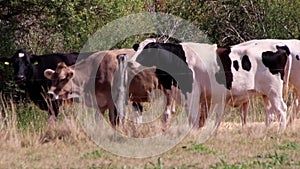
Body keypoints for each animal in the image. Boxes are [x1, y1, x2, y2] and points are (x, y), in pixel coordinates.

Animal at [132, 38, 290, 131]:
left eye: (148, 50)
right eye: (137, 48)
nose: (131, 62)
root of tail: (279, 46)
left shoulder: (192, 94)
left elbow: (193, 117)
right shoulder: (171, 92)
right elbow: (167, 115)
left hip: (274, 91)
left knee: (281, 109)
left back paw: (280, 131)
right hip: (266, 94)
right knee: (270, 113)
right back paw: (267, 131)